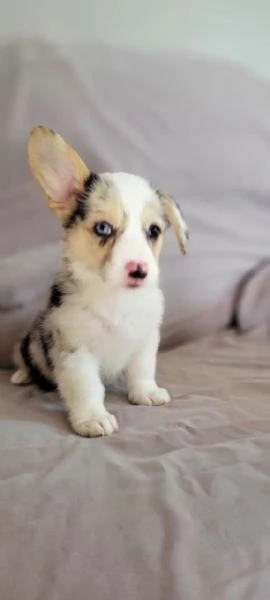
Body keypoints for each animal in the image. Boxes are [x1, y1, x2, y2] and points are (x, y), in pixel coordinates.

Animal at [10, 126, 188, 436]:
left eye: (153, 231)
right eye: (103, 228)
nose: (139, 271)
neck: (116, 298)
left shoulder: (145, 340)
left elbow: (143, 370)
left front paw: (146, 393)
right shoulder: (76, 352)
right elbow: (87, 389)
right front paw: (93, 418)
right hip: (29, 342)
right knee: (24, 357)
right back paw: (21, 375)